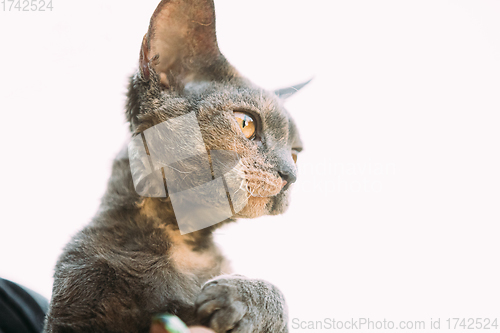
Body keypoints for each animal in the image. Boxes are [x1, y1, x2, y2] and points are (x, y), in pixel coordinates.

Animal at [44, 0, 308, 332]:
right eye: (246, 123)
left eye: (296, 153)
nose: (291, 175)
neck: (182, 240)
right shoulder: (79, 290)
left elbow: (277, 294)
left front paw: (247, 298)